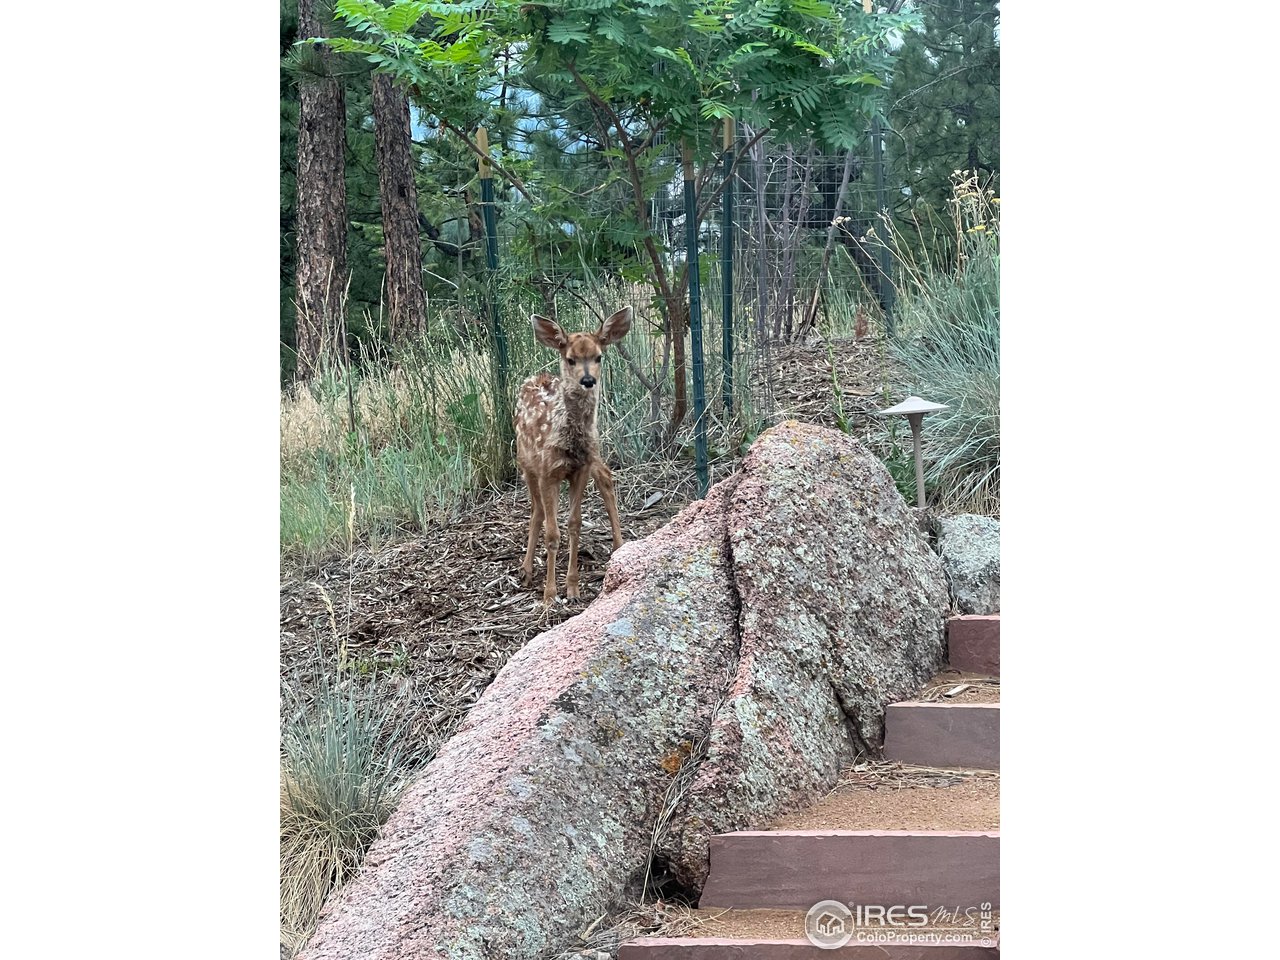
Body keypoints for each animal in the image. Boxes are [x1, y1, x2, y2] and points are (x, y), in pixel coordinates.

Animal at [515, 305, 632, 604]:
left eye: (598, 356)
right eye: (570, 359)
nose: (588, 380)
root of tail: (537, 377)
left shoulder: (580, 468)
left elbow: (574, 524)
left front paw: (573, 588)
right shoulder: (548, 472)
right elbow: (552, 532)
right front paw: (549, 594)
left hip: (592, 455)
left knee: (605, 476)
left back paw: (619, 546)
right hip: (526, 464)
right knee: (536, 511)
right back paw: (526, 570)